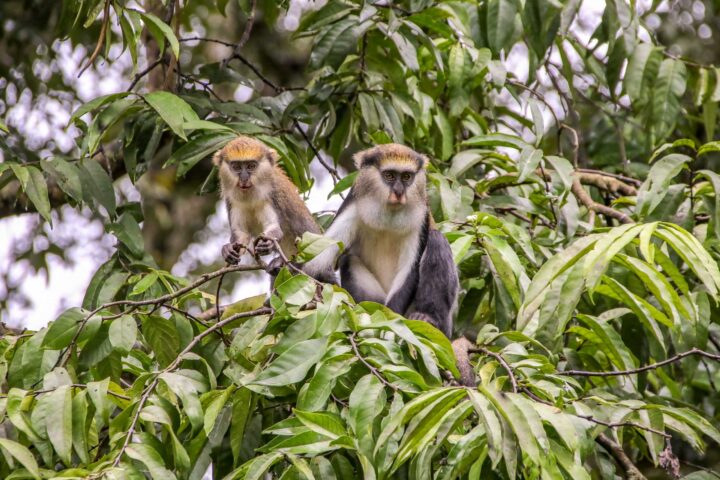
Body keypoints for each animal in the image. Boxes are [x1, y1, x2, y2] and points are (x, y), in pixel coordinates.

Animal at [214, 134, 338, 282]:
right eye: (237, 167)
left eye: (251, 166)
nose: (244, 178)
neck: (250, 196)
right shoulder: (231, 201)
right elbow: (241, 233)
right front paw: (228, 249)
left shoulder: (274, 194)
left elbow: (274, 227)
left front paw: (268, 243)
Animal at [300, 142, 458, 338]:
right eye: (389, 175)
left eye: (407, 177)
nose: (399, 192)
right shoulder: (354, 203)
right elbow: (316, 267)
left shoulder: (421, 218)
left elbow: (409, 271)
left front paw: (392, 324)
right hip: (375, 300)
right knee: (348, 260)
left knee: (437, 240)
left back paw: (427, 317)